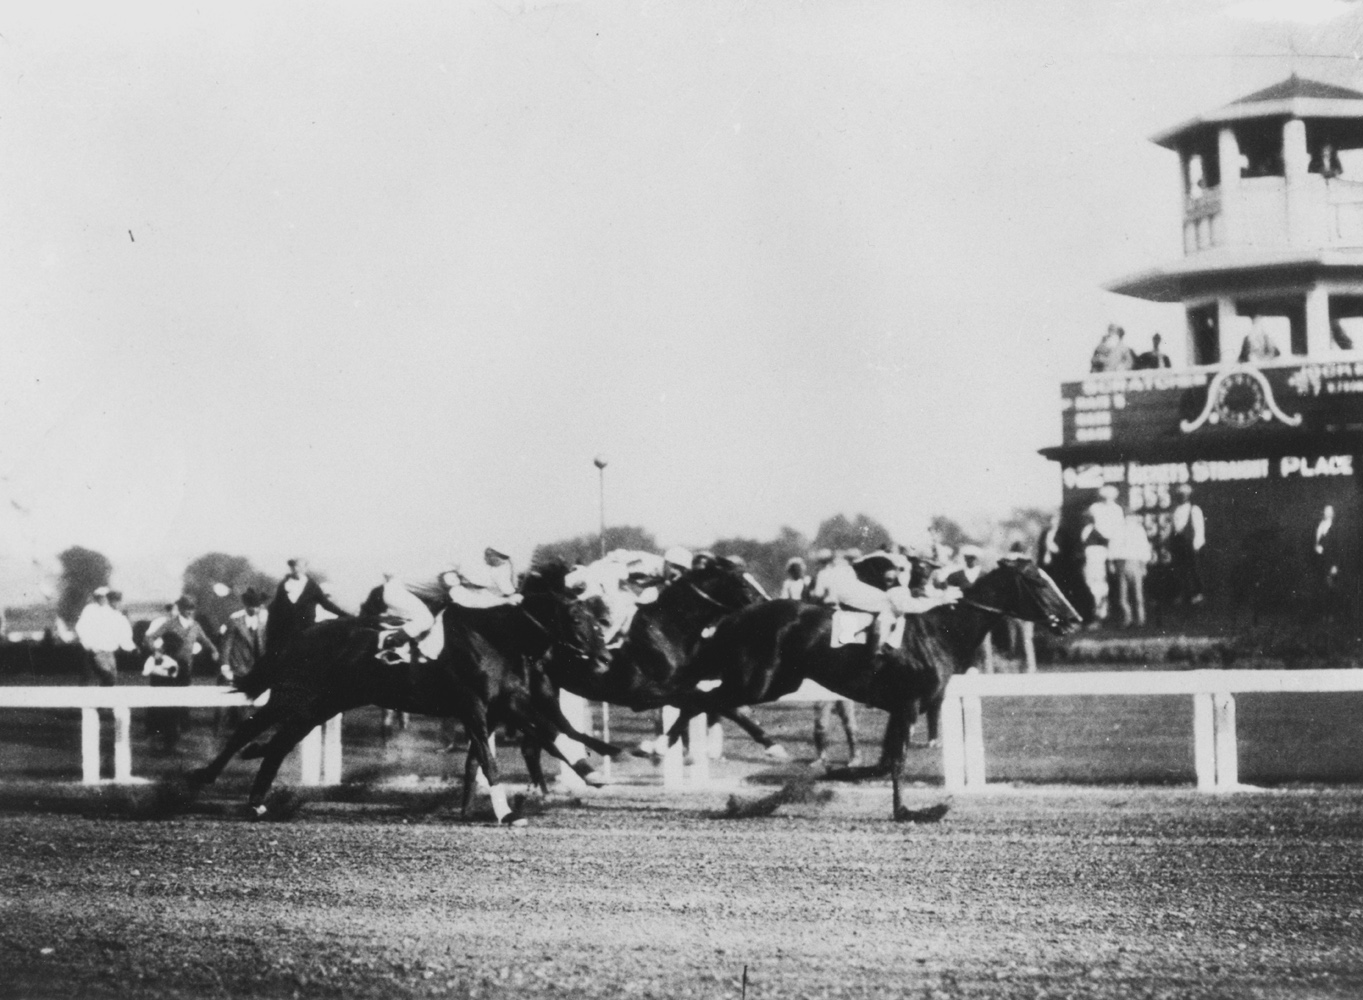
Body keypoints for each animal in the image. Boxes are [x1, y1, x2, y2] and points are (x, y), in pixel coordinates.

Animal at [189, 566, 616, 828]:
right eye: (576, 618)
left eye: (595, 617)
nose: (605, 658)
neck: (493, 635)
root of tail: (299, 638)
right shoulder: (474, 708)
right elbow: (491, 760)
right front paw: (507, 814)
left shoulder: (509, 703)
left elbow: (555, 733)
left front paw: (593, 770)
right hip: (295, 697)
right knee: (248, 729)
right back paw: (207, 776)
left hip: (320, 706)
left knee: (277, 744)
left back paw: (256, 802)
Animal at [665, 564, 1079, 822]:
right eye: (1039, 582)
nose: (1074, 618)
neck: (939, 633)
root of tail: (736, 616)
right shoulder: (909, 706)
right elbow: (896, 763)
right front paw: (910, 811)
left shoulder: (899, 708)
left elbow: (882, 764)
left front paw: (808, 783)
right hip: (758, 681)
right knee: (708, 699)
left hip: (779, 681)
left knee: (699, 698)